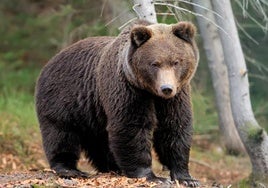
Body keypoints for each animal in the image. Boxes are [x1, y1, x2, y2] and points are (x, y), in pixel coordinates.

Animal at [35, 19, 199, 187]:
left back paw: (112, 167)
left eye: (176, 62)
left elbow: (174, 127)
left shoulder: (176, 97)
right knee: (61, 133)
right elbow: (131, 127)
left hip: (93, 110)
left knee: (100, 141)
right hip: (63, 98)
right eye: (155, 63)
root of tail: (49, 62)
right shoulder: (128, 89)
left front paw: (186, 178)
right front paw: (152, 176)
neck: (151, 92)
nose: (166, 88)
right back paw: (70, 169)